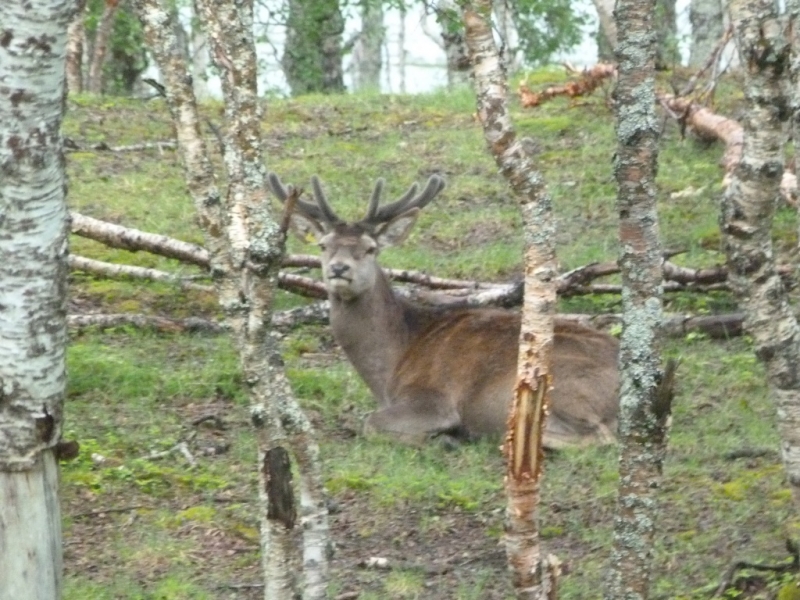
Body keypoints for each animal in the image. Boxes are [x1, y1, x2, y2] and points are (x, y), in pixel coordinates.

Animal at [268, 171, 620, 448]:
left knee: (598, 437)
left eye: (370, 248)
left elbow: (370, 423)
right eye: (323, 245)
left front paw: (444, 437)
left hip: (559, 386)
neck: (390, 367)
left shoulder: (432, 399)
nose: (339, 269)